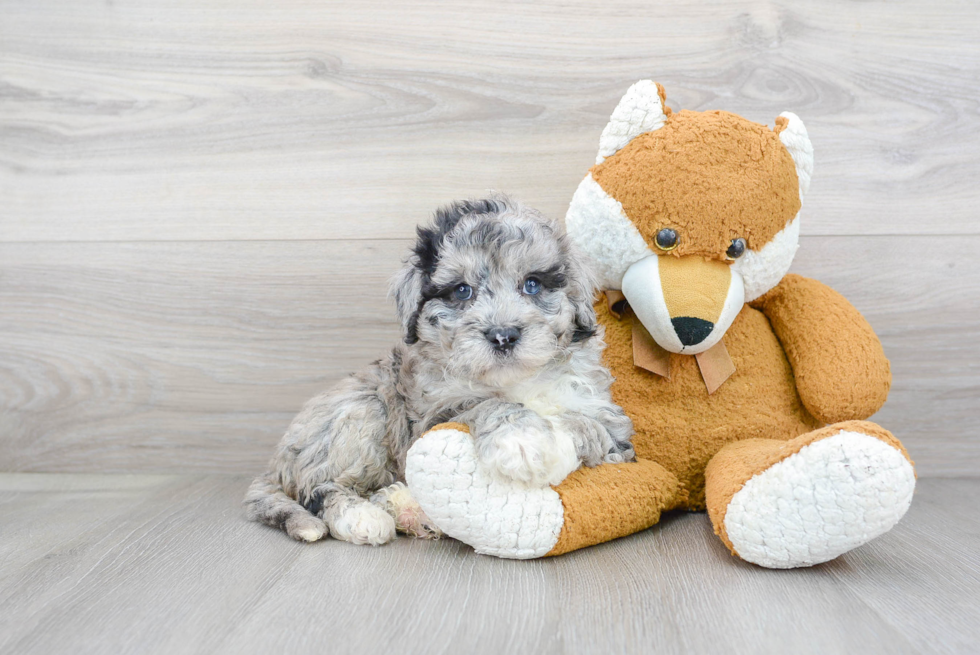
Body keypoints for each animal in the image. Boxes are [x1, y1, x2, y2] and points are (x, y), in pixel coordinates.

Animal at [241, 195, 632, 544]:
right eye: (461, 291)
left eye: (532, 284)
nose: (503, 335)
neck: (515, 381)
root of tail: (275, 464)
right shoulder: (433, 413)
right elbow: (486, 404)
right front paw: (522, 438)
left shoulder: (606, 416)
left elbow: (589, 426)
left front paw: (557, 442)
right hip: (359, 412)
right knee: (321, 488)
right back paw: (363, 518)